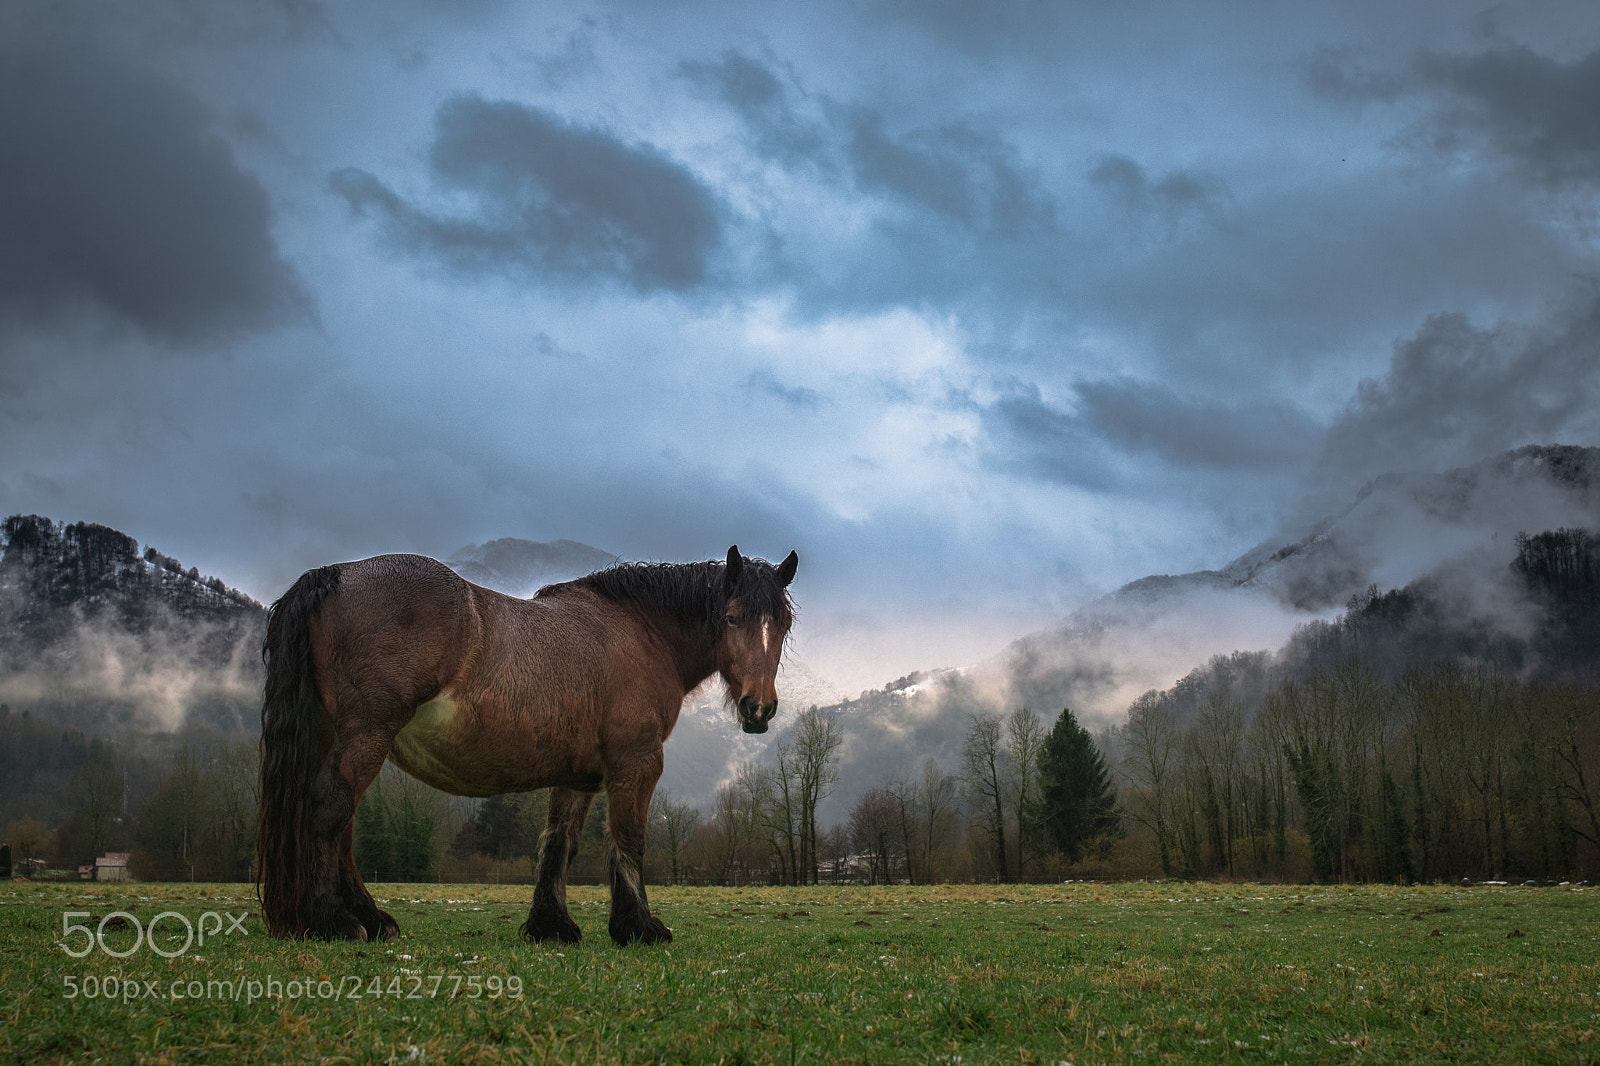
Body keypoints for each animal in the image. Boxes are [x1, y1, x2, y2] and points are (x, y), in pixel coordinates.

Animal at [255, 544, 798, 946]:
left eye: (783, 624)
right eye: (731, 617)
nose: (759, 709)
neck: (641, 634)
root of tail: (336, 574)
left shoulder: (579, 775)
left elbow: (559, 842)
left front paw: (551, 926)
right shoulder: (636, 762)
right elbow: (629, 838)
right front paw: (640, 927)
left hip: (340, 734)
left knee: (342, 823)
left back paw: (370, 919)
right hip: (368, 732)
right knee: (330, 809)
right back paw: (334, 922)